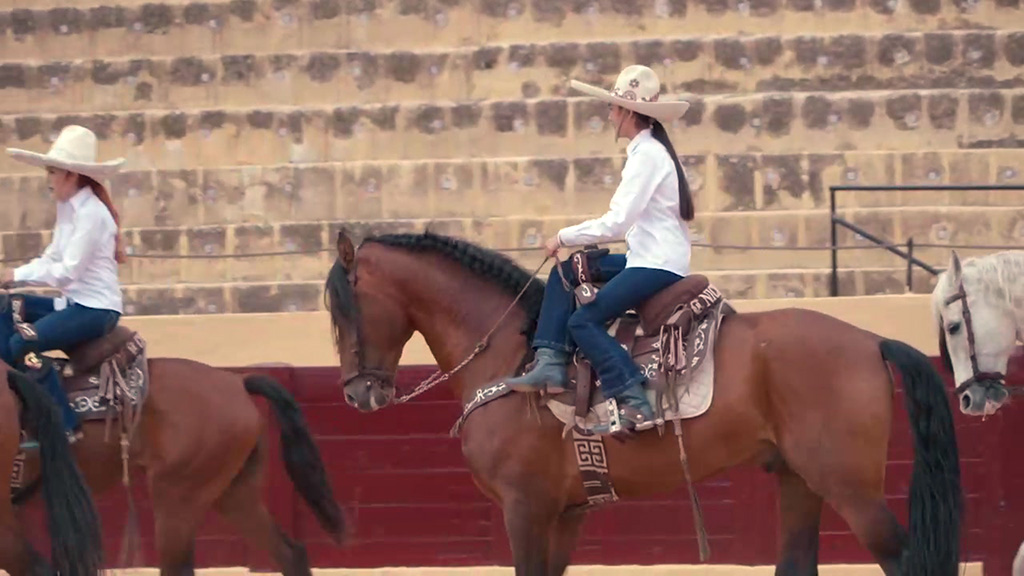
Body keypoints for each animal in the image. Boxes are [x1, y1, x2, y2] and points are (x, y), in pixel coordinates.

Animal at [324, 228, 963, 576]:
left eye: (342, 307)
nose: (359, 393)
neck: (513, 356)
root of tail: (871, 340)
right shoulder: (565, 513)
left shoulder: (525, 508)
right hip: (800, 480)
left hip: (850, 486)